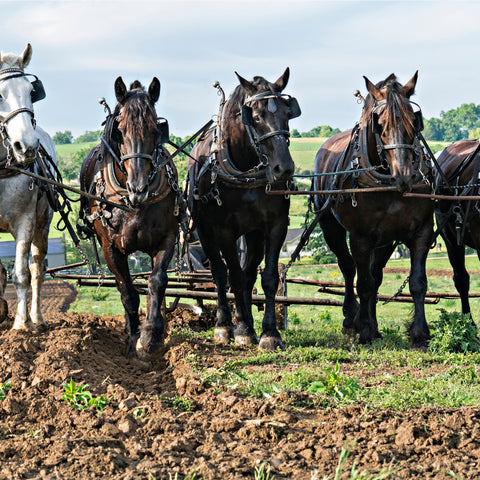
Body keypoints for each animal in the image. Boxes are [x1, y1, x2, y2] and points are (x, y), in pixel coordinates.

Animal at [79, 77, 179, 358]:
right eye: (119, 131)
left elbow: (157, 281)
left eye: (156, 130)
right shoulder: (111, 247)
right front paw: (132, 339)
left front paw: (150, 337)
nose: (139, 188)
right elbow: (127, 291)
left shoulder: (168, 237)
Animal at [188, 68, 298, 348]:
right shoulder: (223, 230)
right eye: (256, 117)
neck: (245, 171)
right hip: (205, 232)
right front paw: (241, 330)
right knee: (220, 273)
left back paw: (245, 320)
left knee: (249, 275)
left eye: (287, 113)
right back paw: (226, 324)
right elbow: (233, 277)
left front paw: (269, 333)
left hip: (253, 234)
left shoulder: (275, 225)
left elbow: (267, 278)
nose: (284, 168)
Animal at [312, 72, 436, 344]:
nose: (404, 176)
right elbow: (364, 284)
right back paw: (352, 319)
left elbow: (417, 282)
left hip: (386, 239)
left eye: (415, 121)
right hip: (331, 227)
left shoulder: (421, 231)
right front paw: (364, 330)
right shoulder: (360, 237)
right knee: (348, 269)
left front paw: (420, 334)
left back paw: (374, 325)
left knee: (375, 274)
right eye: (380, 124)